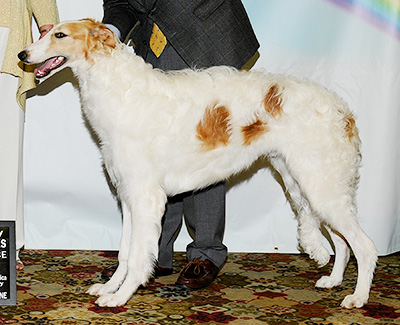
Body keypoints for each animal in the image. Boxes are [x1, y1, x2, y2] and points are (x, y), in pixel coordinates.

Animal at [18, 19, 376, 308]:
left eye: (60, 34)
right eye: (45, 32)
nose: (23, 55)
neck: (121, 92)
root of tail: (343, 110)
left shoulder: (146, 198)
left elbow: (137, 257)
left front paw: (120, 297)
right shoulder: (129, 196)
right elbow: (124, 254)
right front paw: (108, 287)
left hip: (319, 184)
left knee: (365, 245)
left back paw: (357, 297)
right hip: (306, 181)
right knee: (343, 243)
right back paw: (333, 281)